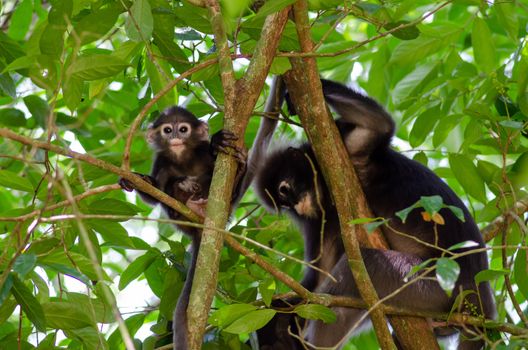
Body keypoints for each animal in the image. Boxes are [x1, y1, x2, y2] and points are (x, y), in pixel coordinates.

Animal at [253, 79, 496, 350]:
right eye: (283, 204)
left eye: (284, 189)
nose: (297, 207)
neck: (326, 194)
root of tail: (479, 296)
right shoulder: (320, 220)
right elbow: (318, 277)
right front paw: (276, 316)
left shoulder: (346, 147)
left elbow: (378, 123)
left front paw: (299, 87)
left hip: (431, 283)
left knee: (361, 266)